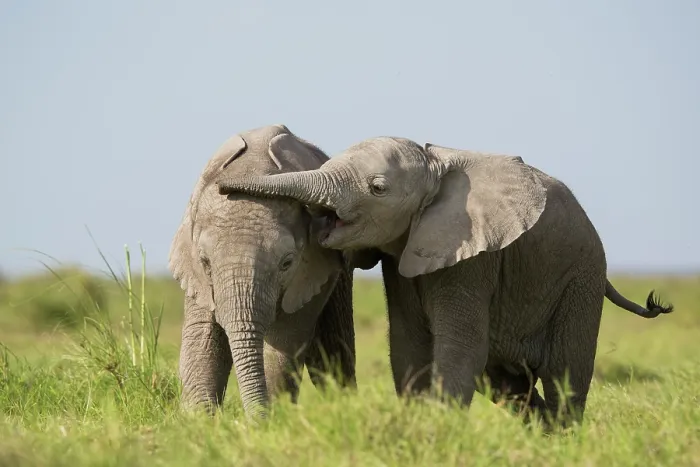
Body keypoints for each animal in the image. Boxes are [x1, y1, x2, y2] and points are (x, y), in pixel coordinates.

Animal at [168, 124, 359, 419]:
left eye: (287, 264)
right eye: (205, 262)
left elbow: (285, 341)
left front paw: (273, 419)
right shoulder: (196, 275)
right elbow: (203, 339)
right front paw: (198, 421)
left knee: (333, 350)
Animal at [215, 136, 674, 427]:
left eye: (377, 188)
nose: (222, 186)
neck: (433, 167)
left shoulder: (472, 256)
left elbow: (459, 350)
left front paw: (439, 433)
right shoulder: (402, 258)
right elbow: (409, 349)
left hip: (581, 277)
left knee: (565, 375)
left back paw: (564, 442)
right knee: (509, 385)